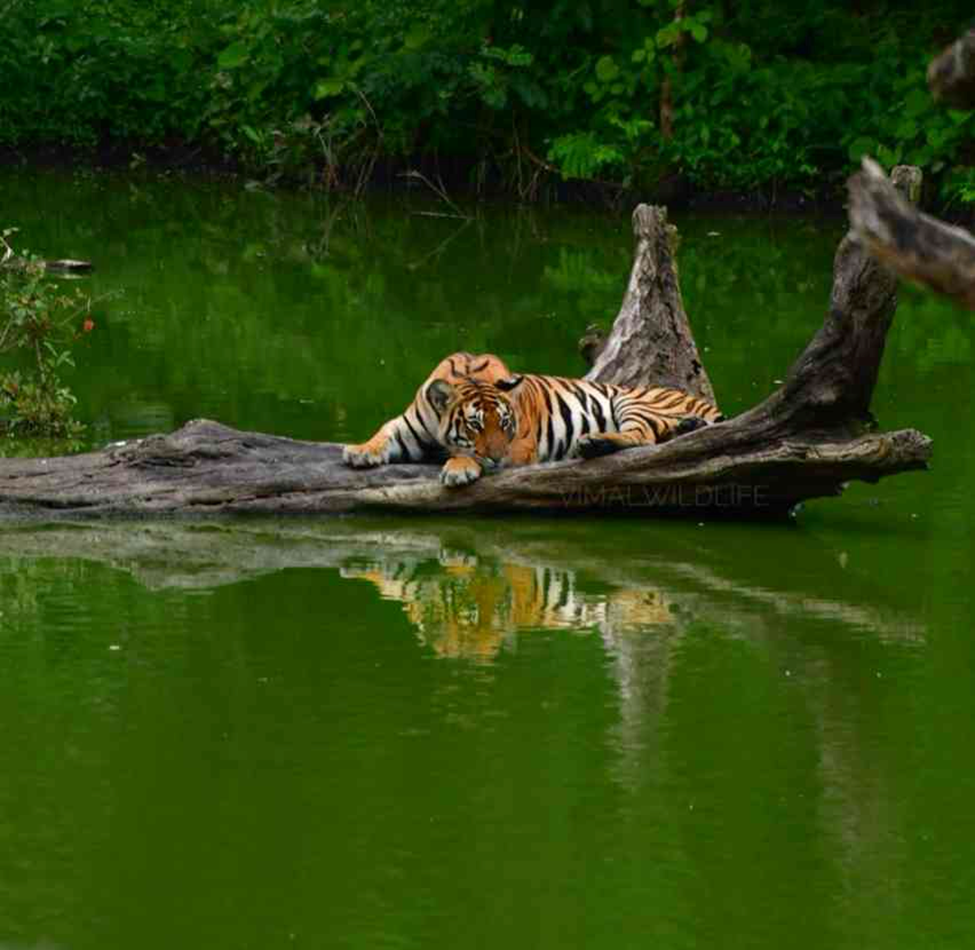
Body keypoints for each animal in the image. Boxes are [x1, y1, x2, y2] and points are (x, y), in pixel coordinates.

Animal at [342, 351, 723, 487]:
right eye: (475, 424)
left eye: (505, 424)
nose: (497, 458)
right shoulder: (408, 425)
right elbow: (384, 431)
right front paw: (360, 451)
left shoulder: (521, 446)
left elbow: (466, 453)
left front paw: (459, 467)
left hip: (631, 401)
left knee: (642, 436)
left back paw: (594, 442)